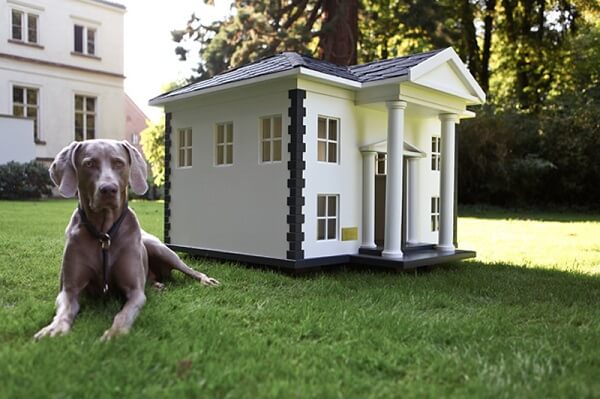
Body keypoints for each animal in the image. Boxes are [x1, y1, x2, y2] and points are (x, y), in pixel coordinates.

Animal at [35, 140, 219, 340]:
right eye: (89, 164)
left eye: (119, 163)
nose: (108, 189)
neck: (104, 234)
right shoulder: (69, 290)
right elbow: (64, 309)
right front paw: (54, 328)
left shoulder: (135, 292)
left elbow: (124, 313)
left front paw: (115, 333)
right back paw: (157, 285)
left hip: (161, 250)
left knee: (190, 269)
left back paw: (206, 281)